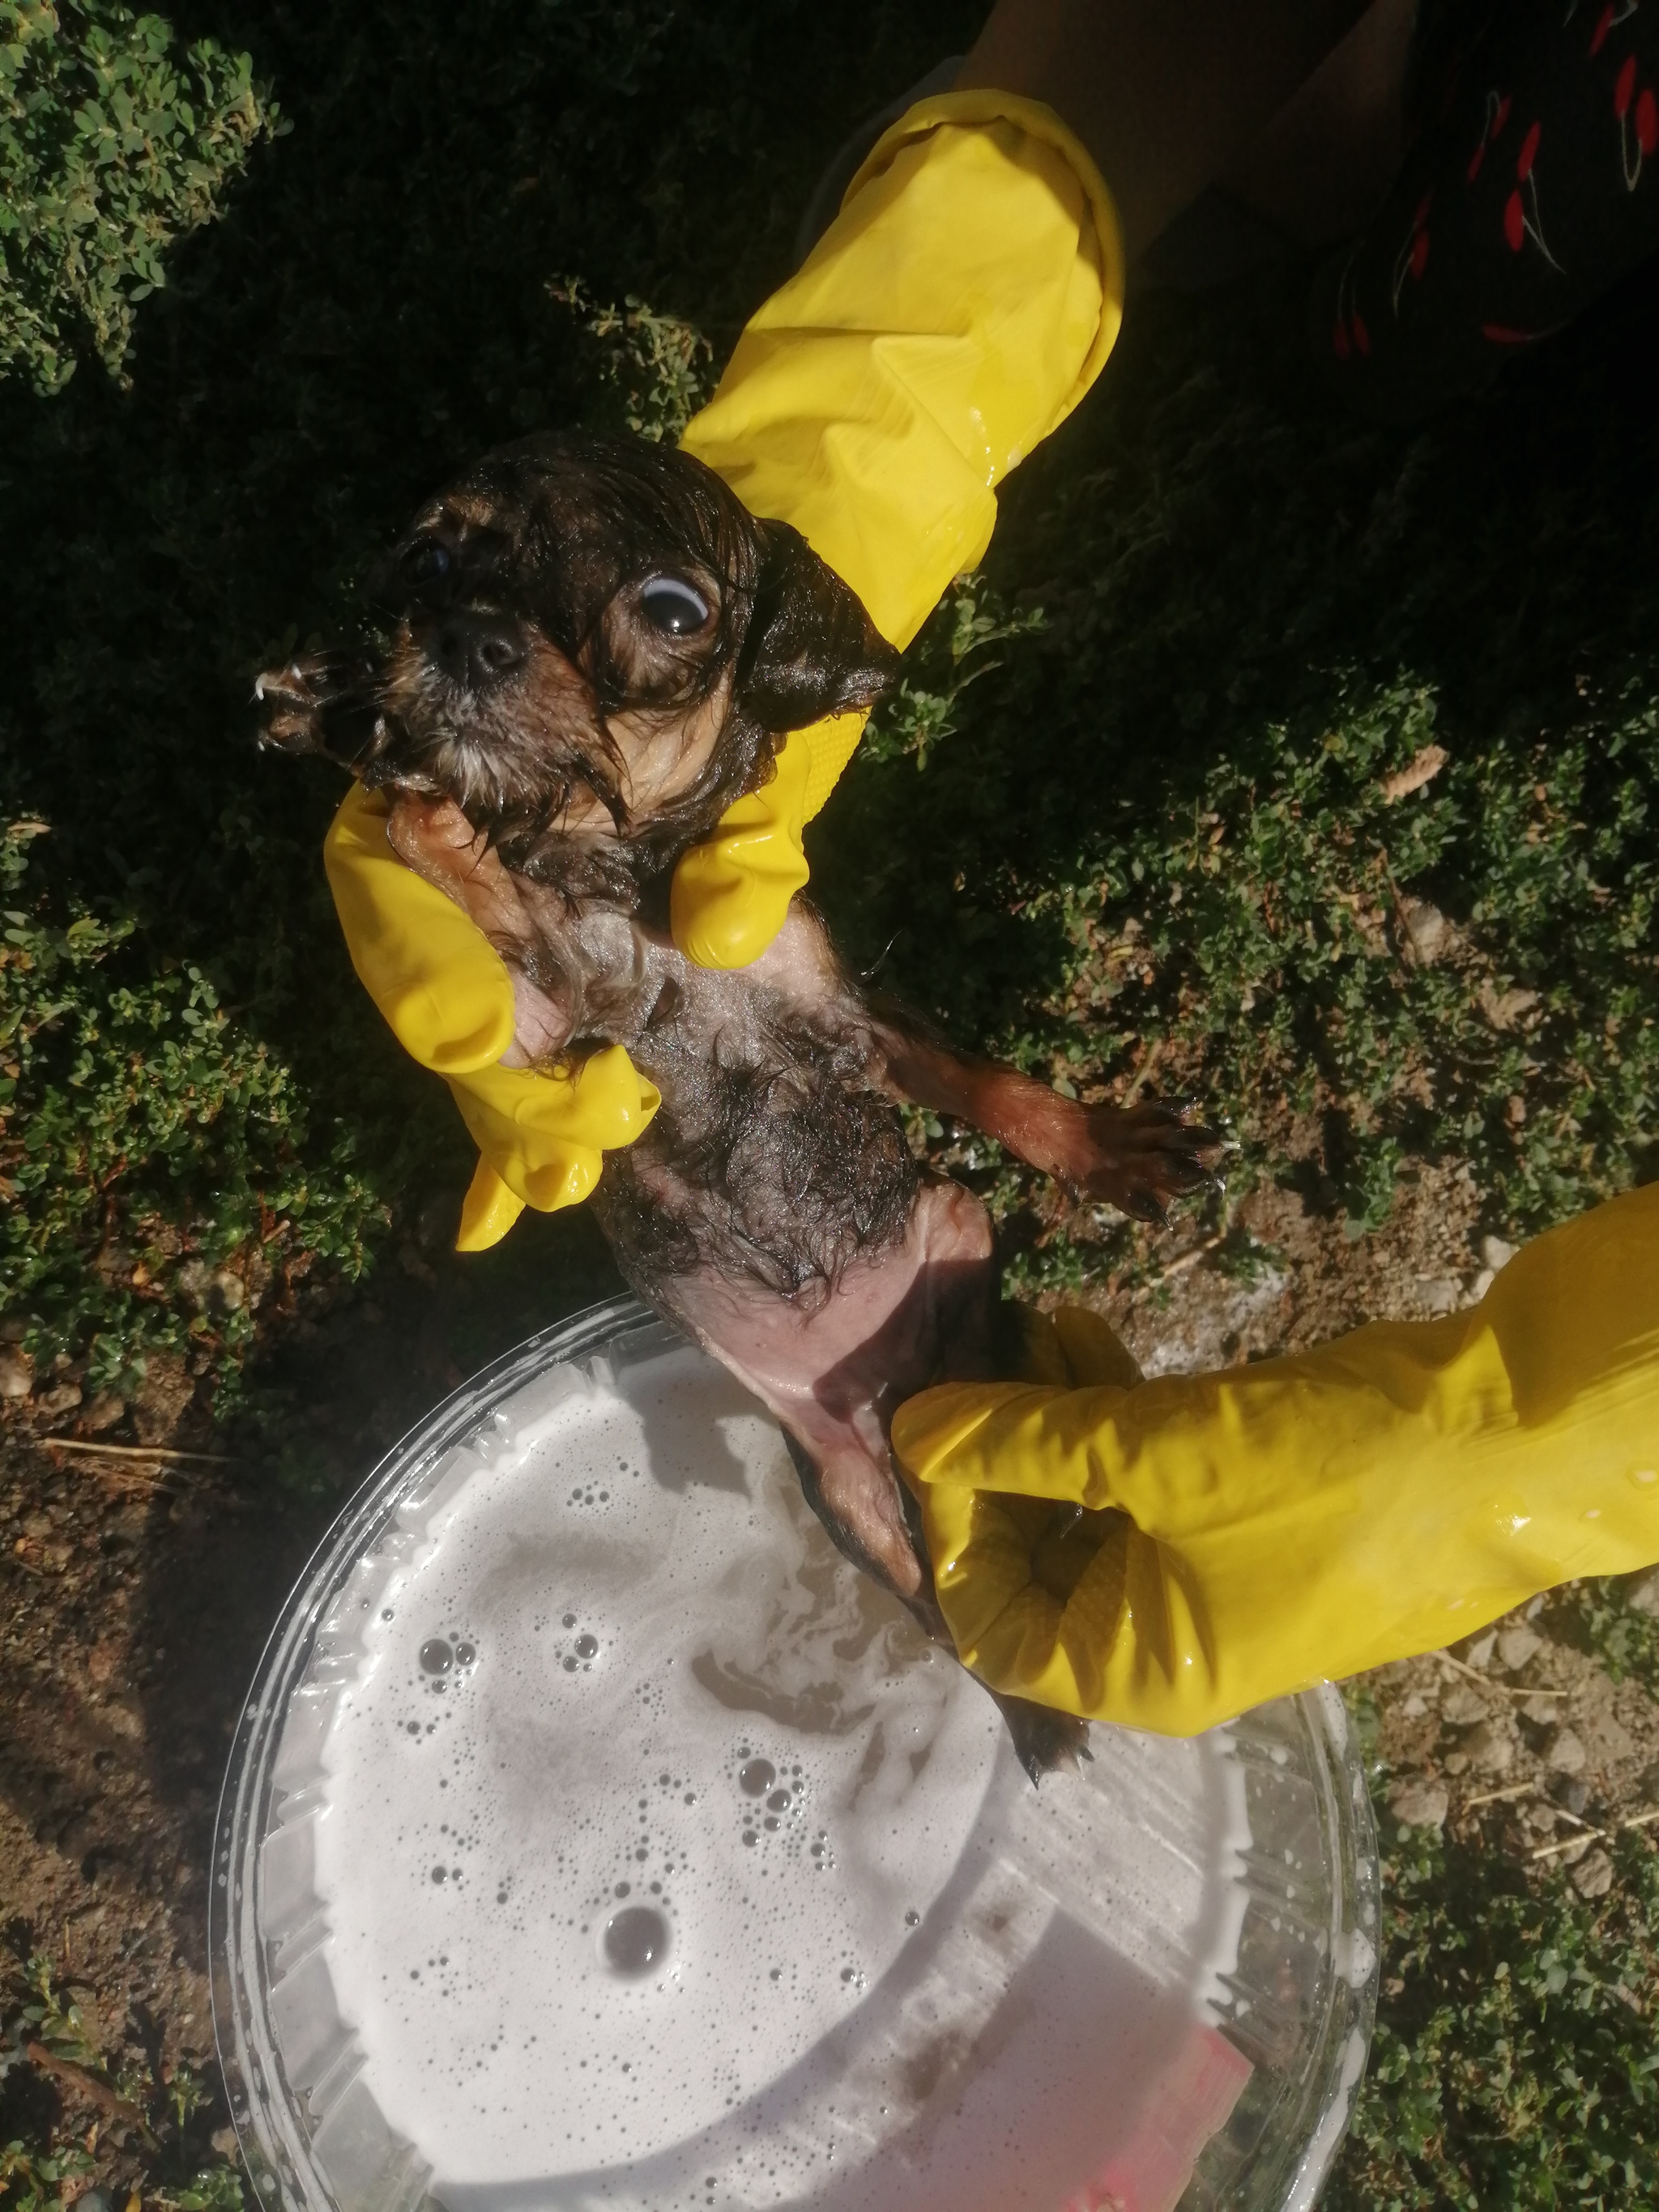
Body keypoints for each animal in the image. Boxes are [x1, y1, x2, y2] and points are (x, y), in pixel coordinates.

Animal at [259, 431, 1221, 1778]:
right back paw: (1023, 1687)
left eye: (673, 608)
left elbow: (993, 1082)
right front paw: (365, 729)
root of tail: (897, 1392)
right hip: (847, 1487)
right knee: (937, 1592)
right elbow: (434, 836)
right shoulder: (545, 1037)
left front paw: (1107, 1147)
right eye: (431, 556)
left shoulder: (849, 1018)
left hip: (957, 1229)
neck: (621, 876)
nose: (468, 639)